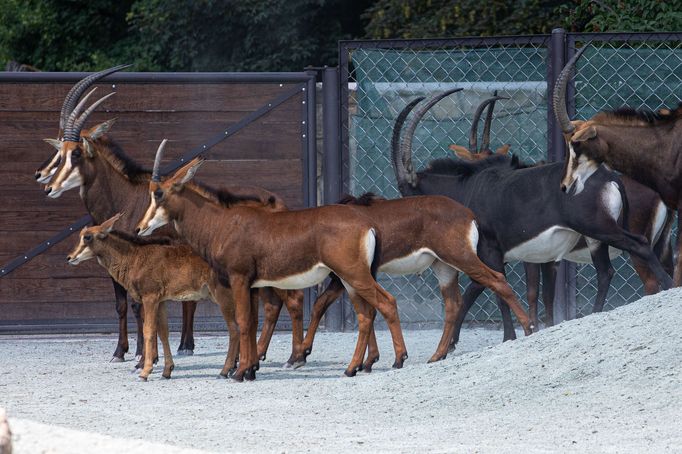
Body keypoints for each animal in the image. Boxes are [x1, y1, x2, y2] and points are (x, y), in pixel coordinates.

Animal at [66, 213, 240, 380]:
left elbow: (148, 330)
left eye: (87, 237)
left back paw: (225, 370)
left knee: (234, 329)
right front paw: (167, 370)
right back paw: (235, 368)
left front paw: (145, 371)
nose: (69, 257)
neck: (134, 257)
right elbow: (163, 332)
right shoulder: (160, 301)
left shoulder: (149, 297)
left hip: (221, 294)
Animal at [135, 141, 410, 380]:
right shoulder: (253, 285)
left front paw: (239, 372)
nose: (140, 228)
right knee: (365, 315)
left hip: (354, 274)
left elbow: (243, 322)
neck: (222, 222)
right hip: (348, 280)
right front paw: (249, 370)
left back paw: (398, 359)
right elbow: (252, 322)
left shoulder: (239, 278)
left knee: (387, 302)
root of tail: (368, 224)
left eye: (158, 193)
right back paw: (352, 368)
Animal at [300, 192, 532, 366]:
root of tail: (469, 216)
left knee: (497, 279)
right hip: (444, 267)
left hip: (461, 257)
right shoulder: (351, 278)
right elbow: (355, 309)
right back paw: (438, 355)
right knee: (453, 303)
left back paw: (528, 328)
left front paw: (302, 353)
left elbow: (324, 305)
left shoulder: (346, 277)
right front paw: (368, 360)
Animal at [390, 88, 672, 344]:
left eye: (406, 192)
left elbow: (497, 290)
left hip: (600, 228)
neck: (468, 188)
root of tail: (610, 177)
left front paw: (508, 336)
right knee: (606, 272)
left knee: (639, 248)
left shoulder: (491, 251)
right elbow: (516, 292)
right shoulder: (531, 257)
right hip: (598, 239)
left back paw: (667, 286)